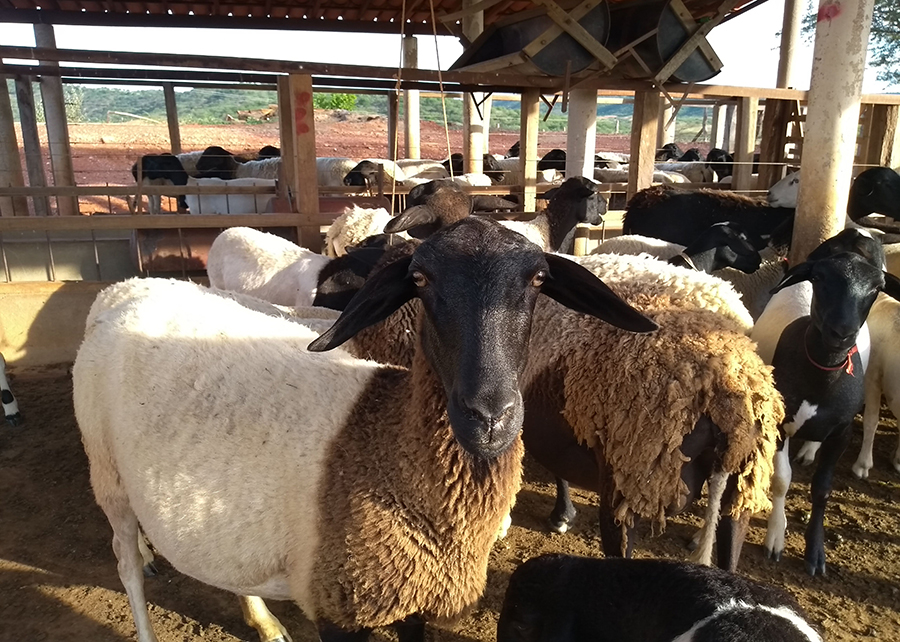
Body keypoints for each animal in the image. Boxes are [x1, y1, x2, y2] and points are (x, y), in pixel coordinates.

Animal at [72, 215, 652, 640]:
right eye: (419, 280)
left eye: (537, 279)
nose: (489, 417)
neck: (386, 442)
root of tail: (124, 288)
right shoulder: (338, 606)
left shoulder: (416, 601)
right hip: (107, 474)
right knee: (126, 563)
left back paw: (264, 621)